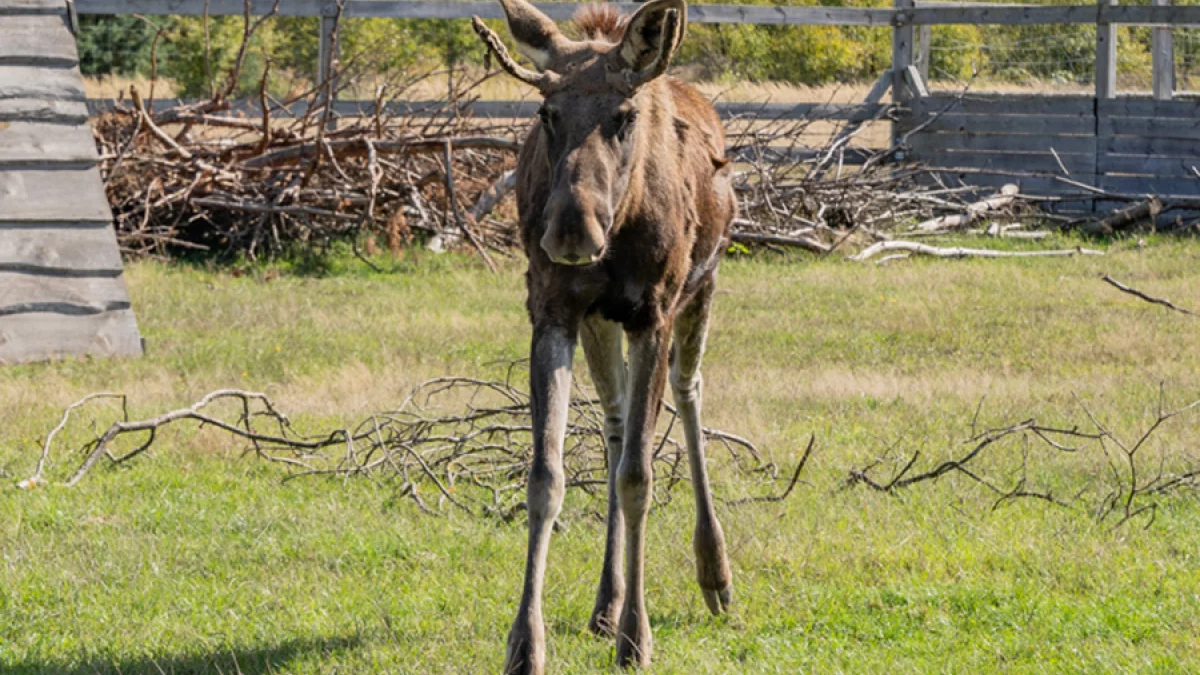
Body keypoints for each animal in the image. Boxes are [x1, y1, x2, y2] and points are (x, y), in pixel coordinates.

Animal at [470, 1, 739, 667]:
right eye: (546, 113)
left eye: (624, 116)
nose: (571, 229)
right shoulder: (554, 311)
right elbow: (546, 476)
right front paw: (526, 642)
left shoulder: (654, 313)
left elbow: (640, 475)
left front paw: (636, 639)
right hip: (601, 321)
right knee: (617, 424)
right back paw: (605, 603)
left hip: (702, 288)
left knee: (689, 392)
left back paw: (715, 574)